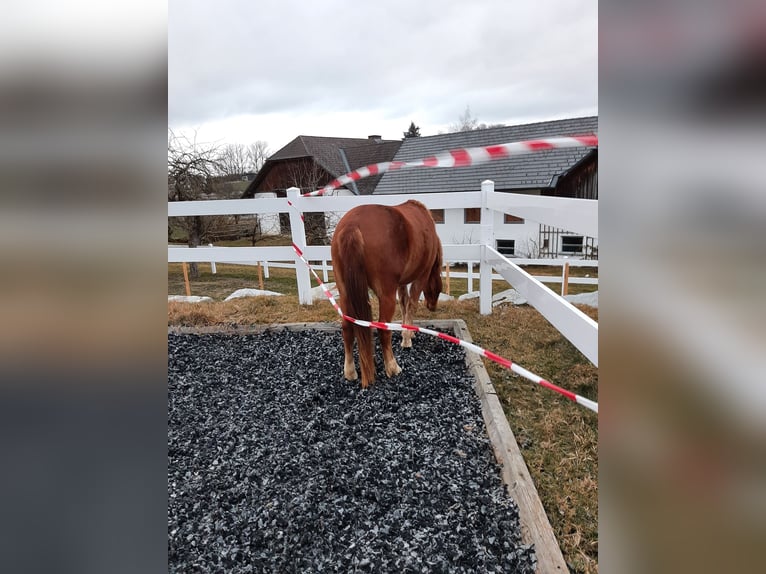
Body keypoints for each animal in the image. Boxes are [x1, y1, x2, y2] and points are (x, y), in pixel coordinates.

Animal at [330, 200, 444, 390]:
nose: (433, 306)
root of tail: (352, 224)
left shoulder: (401, 283)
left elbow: (404, 303)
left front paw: (408, 332)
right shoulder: (421, 276)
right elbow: (411, 304)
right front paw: (407, 339)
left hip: (344, 292)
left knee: (347, 327)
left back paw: (350, 372)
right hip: (386, 296)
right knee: (383, 330)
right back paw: (392, 367)